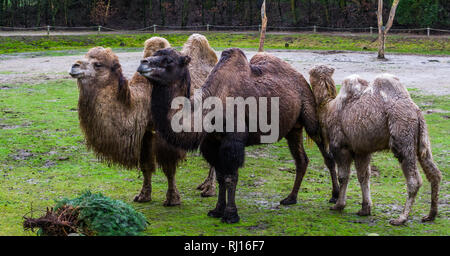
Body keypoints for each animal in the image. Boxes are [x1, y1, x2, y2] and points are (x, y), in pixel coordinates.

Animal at [67, 34, 220, 206]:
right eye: (85, 56)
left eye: (98, 64)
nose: (74, 66)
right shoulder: (146, 133)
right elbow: (145, 166)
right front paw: (143, 195)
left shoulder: (164, 134)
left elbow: (169, 167)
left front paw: (172, 198)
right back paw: (205, 184)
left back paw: (209, 189)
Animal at [137, 48, 338, 224]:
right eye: (155, 54)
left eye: (169, 61)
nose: (142, 63)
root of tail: (300, 77)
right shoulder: (212, 143)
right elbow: (220, 177)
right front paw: (217, 210)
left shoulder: (232, 142)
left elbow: (230, 177)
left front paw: (231, 215)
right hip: (293, 129)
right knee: (301, 160)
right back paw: (290, 198)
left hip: (309, 114)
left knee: (326, 154)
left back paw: (334, 197)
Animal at [310, 65, 442, 225]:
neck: (328, 108)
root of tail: (417, 113)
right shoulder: (361, 150)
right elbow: (364, 176)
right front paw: (365, 209)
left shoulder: (340, 146)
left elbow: (343, 176)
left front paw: (338, 205)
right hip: (422, 140)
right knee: (434, 172)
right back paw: (430, 215)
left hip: (403, 135)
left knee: (414, 180)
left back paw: (401, 218)